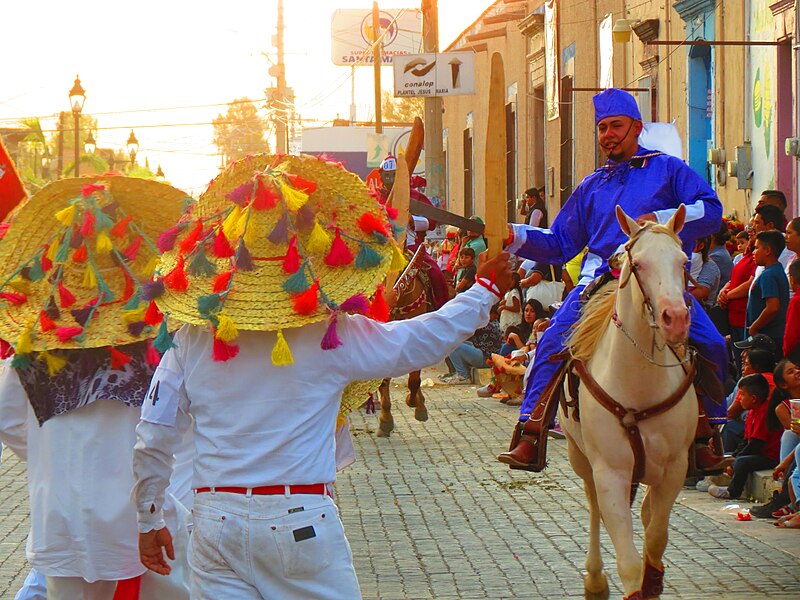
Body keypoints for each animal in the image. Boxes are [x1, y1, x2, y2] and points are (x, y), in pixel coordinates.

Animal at [560, 206, 696, 600]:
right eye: (639, 264)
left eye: (683, 261)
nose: (676, 319)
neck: (639, 381)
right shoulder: (610, 471)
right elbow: (630, 562)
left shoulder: (675, 467)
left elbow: (656, 535)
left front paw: (654, 579)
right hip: (580, 458)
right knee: (594, 507)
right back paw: (594, 579)